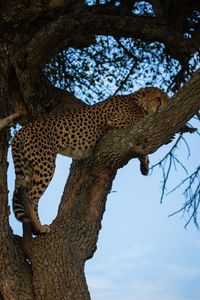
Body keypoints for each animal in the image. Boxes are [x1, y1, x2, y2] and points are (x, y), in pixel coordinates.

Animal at [11, 86, 168, 234]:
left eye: (166, 99)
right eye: (158, 99)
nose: (165, 106)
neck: (137, 101)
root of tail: (23, 129)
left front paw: (145, 166)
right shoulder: (118, 121)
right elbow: (140, 125)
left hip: (29, 166)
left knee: (24, 193)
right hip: (45, 164)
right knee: (31, 197)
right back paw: (39, 227)